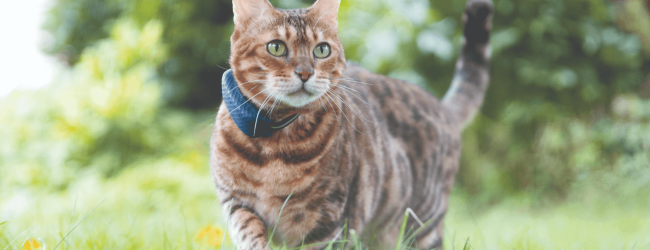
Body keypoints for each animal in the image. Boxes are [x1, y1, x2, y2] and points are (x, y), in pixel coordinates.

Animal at [210, 0, 488, 248]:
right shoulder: (236, 202)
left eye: (322, 50)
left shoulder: (328, 220)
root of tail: (442, 107)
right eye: (276, 47)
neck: (274, 144)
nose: (305, 73)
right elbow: (248, 231)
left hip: (423, 225)